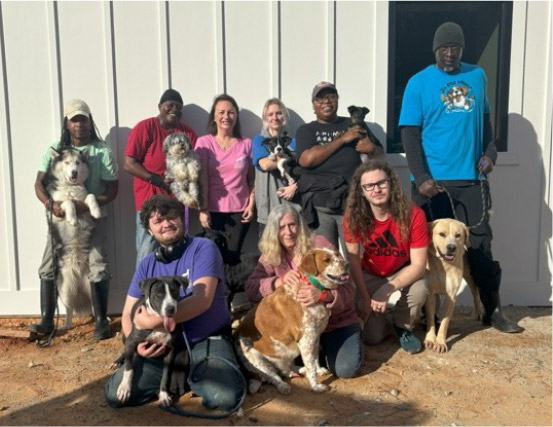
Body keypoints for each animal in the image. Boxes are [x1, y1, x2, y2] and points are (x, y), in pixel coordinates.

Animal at [113, 278, 189, 408]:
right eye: (158, 294)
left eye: (174, 292)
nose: (170, 309)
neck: (158, 324)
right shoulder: (131, 341)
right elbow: (129, 369)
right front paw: (124, 388)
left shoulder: (170, 350)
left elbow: (165, 375)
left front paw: (163, 395)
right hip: (125, 336)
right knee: (125, 351)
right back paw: (118, 361)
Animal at [234, 251, 348, 394]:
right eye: (326, 260)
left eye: (337, 254)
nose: (347, 264)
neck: (309, 283)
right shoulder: (305, 340)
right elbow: (311, 367)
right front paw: (316, 386)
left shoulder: (315, 336)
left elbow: (314, 358)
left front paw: (318, 370)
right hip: (256, 359)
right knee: (273, 377)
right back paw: (283, 386)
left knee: (286, 370)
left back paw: (299, 369)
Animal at [424, 219, 480, 352]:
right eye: (442, 234)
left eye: (458, 235)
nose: (451, 247)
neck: (443, 265)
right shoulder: (430, 292)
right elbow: (430, 318)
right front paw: (430, 339)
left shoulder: (452, 295)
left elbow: (445, 322)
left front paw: (440, 342)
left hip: (469, 275)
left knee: (475, 292)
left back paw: (479, 313)